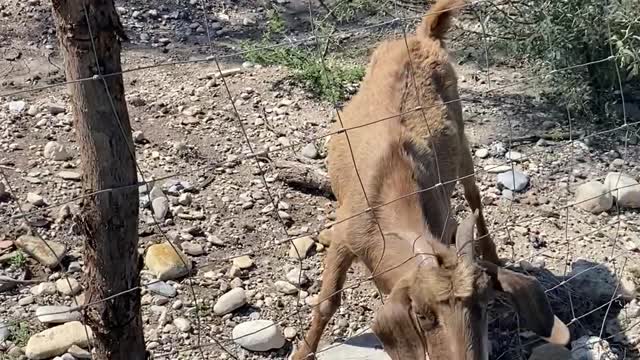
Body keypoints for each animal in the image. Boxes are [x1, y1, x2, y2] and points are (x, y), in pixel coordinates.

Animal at [290, 0, 568, 360]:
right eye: (422, 315)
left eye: (485, 306)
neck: (390, 197)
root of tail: (423, 34)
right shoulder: (346, 236)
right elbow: (327, 302)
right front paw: (301, 352)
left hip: (462, 138)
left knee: (474, 194)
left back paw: (492, 252)